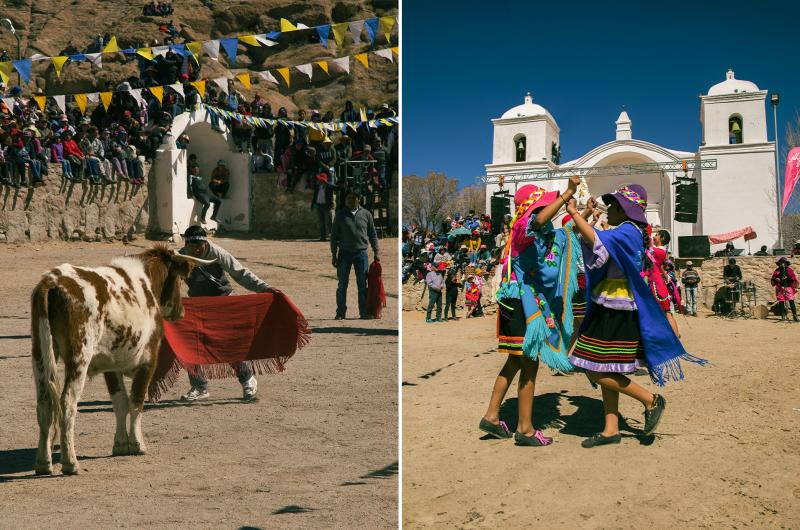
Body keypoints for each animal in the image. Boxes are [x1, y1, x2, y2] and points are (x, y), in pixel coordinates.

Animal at [31, 244, 212, 474]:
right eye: (180, 279)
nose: (181, 312)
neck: (146, 281)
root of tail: (52, 281)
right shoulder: (149, 361)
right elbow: (136, 401)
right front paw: (137, 444)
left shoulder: (111, 365)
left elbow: (120, 402)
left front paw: (120, 444)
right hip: (79, 357)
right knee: (67, 403)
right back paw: (70, 462)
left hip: (40, 355)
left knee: (45, 404)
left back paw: (43, 463)